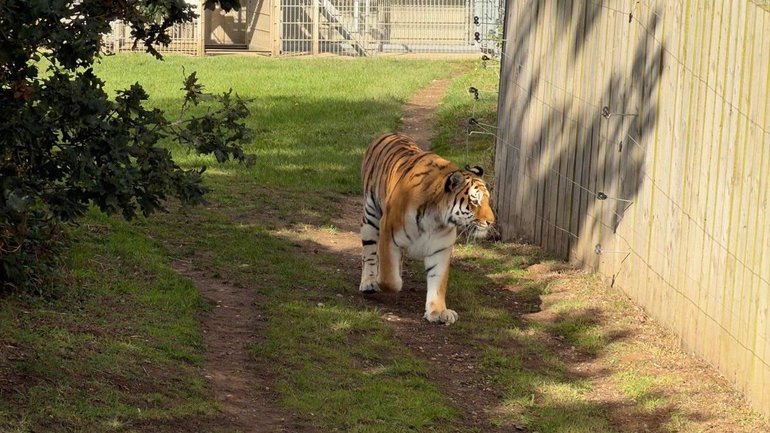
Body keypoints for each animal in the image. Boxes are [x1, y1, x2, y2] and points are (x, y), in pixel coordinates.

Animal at [359, 132, 495, 325]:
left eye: (488, 200)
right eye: (475, 201)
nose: (491, 222)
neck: (436, 218)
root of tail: (389, 133)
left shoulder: (440, 248)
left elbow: (438, 281)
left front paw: (438, 311)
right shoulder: (388, 234)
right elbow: (389, 279)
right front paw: (384, 282)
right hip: (371, 217)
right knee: (369, 252)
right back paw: (369, 282)